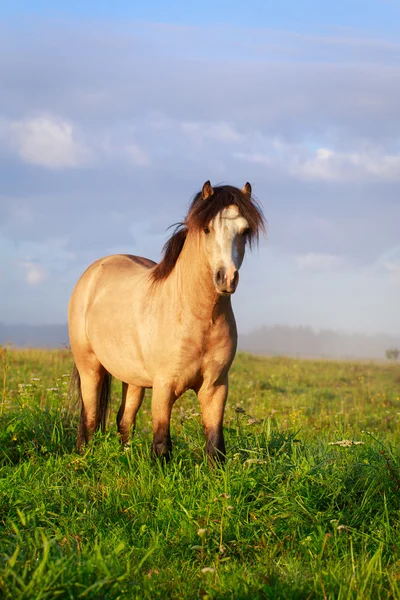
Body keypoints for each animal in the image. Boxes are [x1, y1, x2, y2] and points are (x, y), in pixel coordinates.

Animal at [69, 180, 266, 462]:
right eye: (207, 228)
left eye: (245, 230)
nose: (226, 278)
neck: (197, 317)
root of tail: (94, 271)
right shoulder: (164, 386)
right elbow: (162, 443)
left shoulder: (216, 387)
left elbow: (215, 444)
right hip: (90, 367)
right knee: (90, 416)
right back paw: (83, 455)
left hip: (132, 378)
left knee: (124, 419)